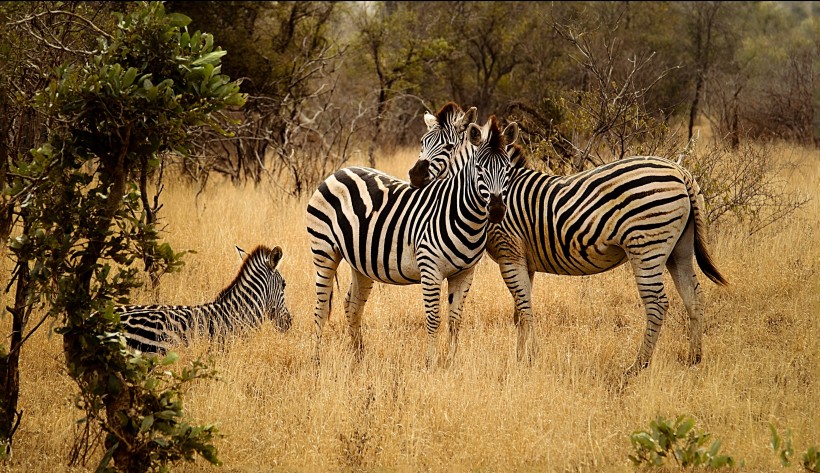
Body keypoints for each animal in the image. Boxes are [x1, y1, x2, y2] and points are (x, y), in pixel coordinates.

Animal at [308, 111, 520, 368]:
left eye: (507, 169)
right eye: (479, 168)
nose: (497, 210)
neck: (461, 213)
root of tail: (339, 172)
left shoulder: (465, 274)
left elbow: (455, 320)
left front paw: (451, 361)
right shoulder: (430, 270)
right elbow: (434, 319)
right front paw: (431, 362)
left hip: (360, 261)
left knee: (353, 305)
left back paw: (359, 358)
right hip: (324, 251)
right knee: (320, 308)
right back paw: (317, 360)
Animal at [408, 142, 724, 374]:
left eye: (446, 146)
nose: (413, 176)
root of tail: (680, 171)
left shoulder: (510, 255)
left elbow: (525, 309)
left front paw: (529, 359)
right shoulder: (524, 261)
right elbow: (519, 312)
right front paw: (520, 359)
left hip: (646, 246)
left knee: (658, 303)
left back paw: (637, 366)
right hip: (679, 249)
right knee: (694, 296)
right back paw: (694, 359)